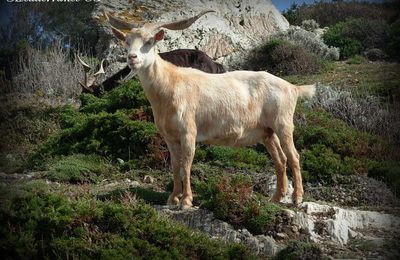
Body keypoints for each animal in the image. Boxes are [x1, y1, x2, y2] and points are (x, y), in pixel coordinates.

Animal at [105, 10, 316, 209]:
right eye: (127, 41)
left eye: (149, 41)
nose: (132, 58)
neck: (171, 85)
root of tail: (292, 87)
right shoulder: (169, 137)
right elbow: (174, 165)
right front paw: (173, 198)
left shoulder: (188, 132)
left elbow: (186, 164)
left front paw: (186, 200)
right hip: (267, 132)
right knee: (280, 159)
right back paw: (276, 197)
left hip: (283, 124)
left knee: (294, 156)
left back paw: (297, 198)